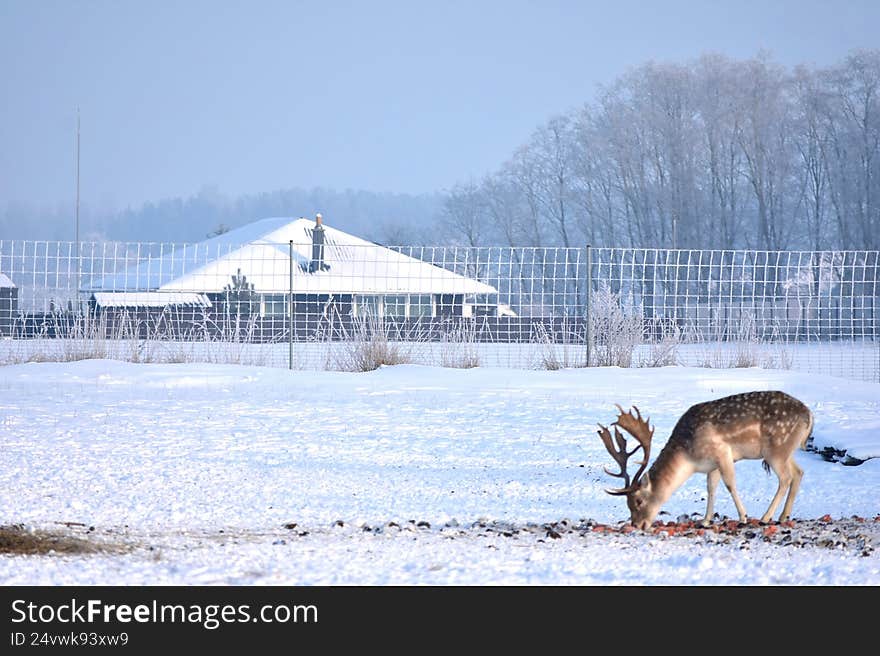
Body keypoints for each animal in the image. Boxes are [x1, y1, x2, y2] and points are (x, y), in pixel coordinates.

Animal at [597, 391, 813, 530]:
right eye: (627, 504)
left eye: (638, 500)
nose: (637, 524)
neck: (689, 458)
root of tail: (809, 414)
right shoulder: (712, 465)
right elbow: (711, 487)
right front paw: (705, 520)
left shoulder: (722, 452)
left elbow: (730, 484)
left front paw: (743, 517)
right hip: (786, 451)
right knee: (799, 472)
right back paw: (783, 515)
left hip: (776, 449)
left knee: (785, 478)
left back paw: (765, 517)